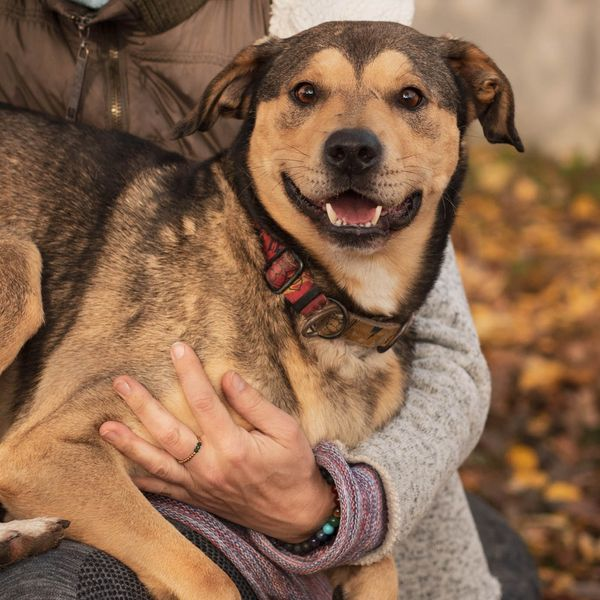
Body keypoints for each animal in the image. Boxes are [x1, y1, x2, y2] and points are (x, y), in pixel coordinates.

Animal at [0, 19, 520, 600]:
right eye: (306, 92)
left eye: (411, 97)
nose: (352, 149)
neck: (308, 290)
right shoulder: (47, 449)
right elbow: (209, 576)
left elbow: (380, 564)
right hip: (19, 268)